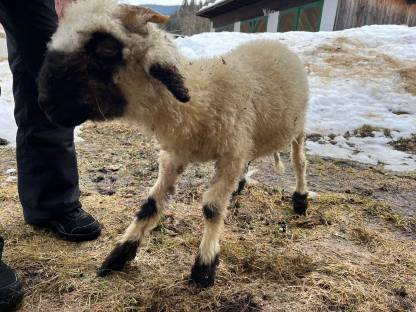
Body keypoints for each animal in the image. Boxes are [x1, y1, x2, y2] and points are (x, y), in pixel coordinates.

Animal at [37, 0, 310, 288]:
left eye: (106, 48)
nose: (45, 104)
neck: (200, 99)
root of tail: (274, 42)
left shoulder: (230, 154)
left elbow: (212, 208)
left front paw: (204, 268)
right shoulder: (174, 156)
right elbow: (150, 205)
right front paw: (119, 255)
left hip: (298, 127)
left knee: (299, 162)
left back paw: (300, 199)